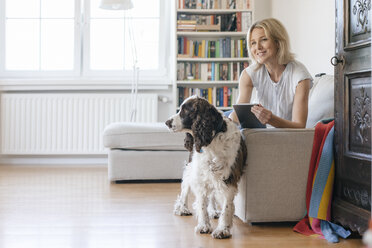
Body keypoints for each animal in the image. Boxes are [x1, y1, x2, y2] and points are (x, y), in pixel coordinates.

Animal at [166, 95, 247, 238]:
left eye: (185, 110)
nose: (166, 122)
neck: (212, 141)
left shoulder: (228, 177)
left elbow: (226, 205)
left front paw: (222, 229)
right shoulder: (200, 176)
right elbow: (202, 203)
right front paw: (204, 225)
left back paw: (213, 211)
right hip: (191, 168)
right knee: (185, 189)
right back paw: (182, 208)